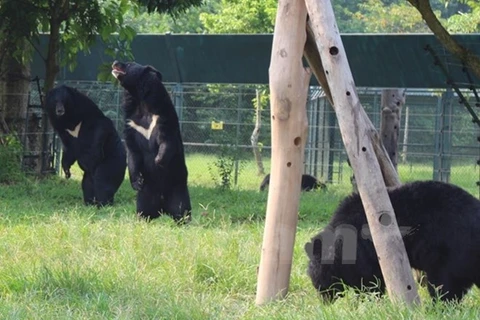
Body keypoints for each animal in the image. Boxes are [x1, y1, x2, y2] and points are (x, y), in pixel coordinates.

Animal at [306, 180, 480, 302]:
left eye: (320, 282)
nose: (325, 301)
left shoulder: (365, 248)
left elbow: (369, 279)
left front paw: (367, 300)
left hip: (452, 251)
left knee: (443, 284)